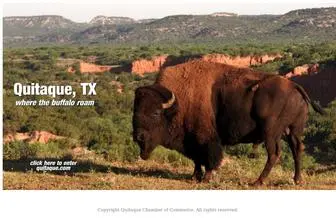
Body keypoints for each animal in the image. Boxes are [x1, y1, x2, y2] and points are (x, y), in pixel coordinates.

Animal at [133, 60, 324, 185]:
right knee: (297, 149)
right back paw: (297, 180)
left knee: (274, 154)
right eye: (135, 111)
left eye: (156, 113)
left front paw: (206, 178)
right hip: (293, 131)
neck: (179, 101)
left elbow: (209, 157)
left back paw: (257, 182)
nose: (138, 136)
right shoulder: (192, 140)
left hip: (270, 133)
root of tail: (294, 86)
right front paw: (195, 177)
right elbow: (197, 159)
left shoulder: (205, 138)